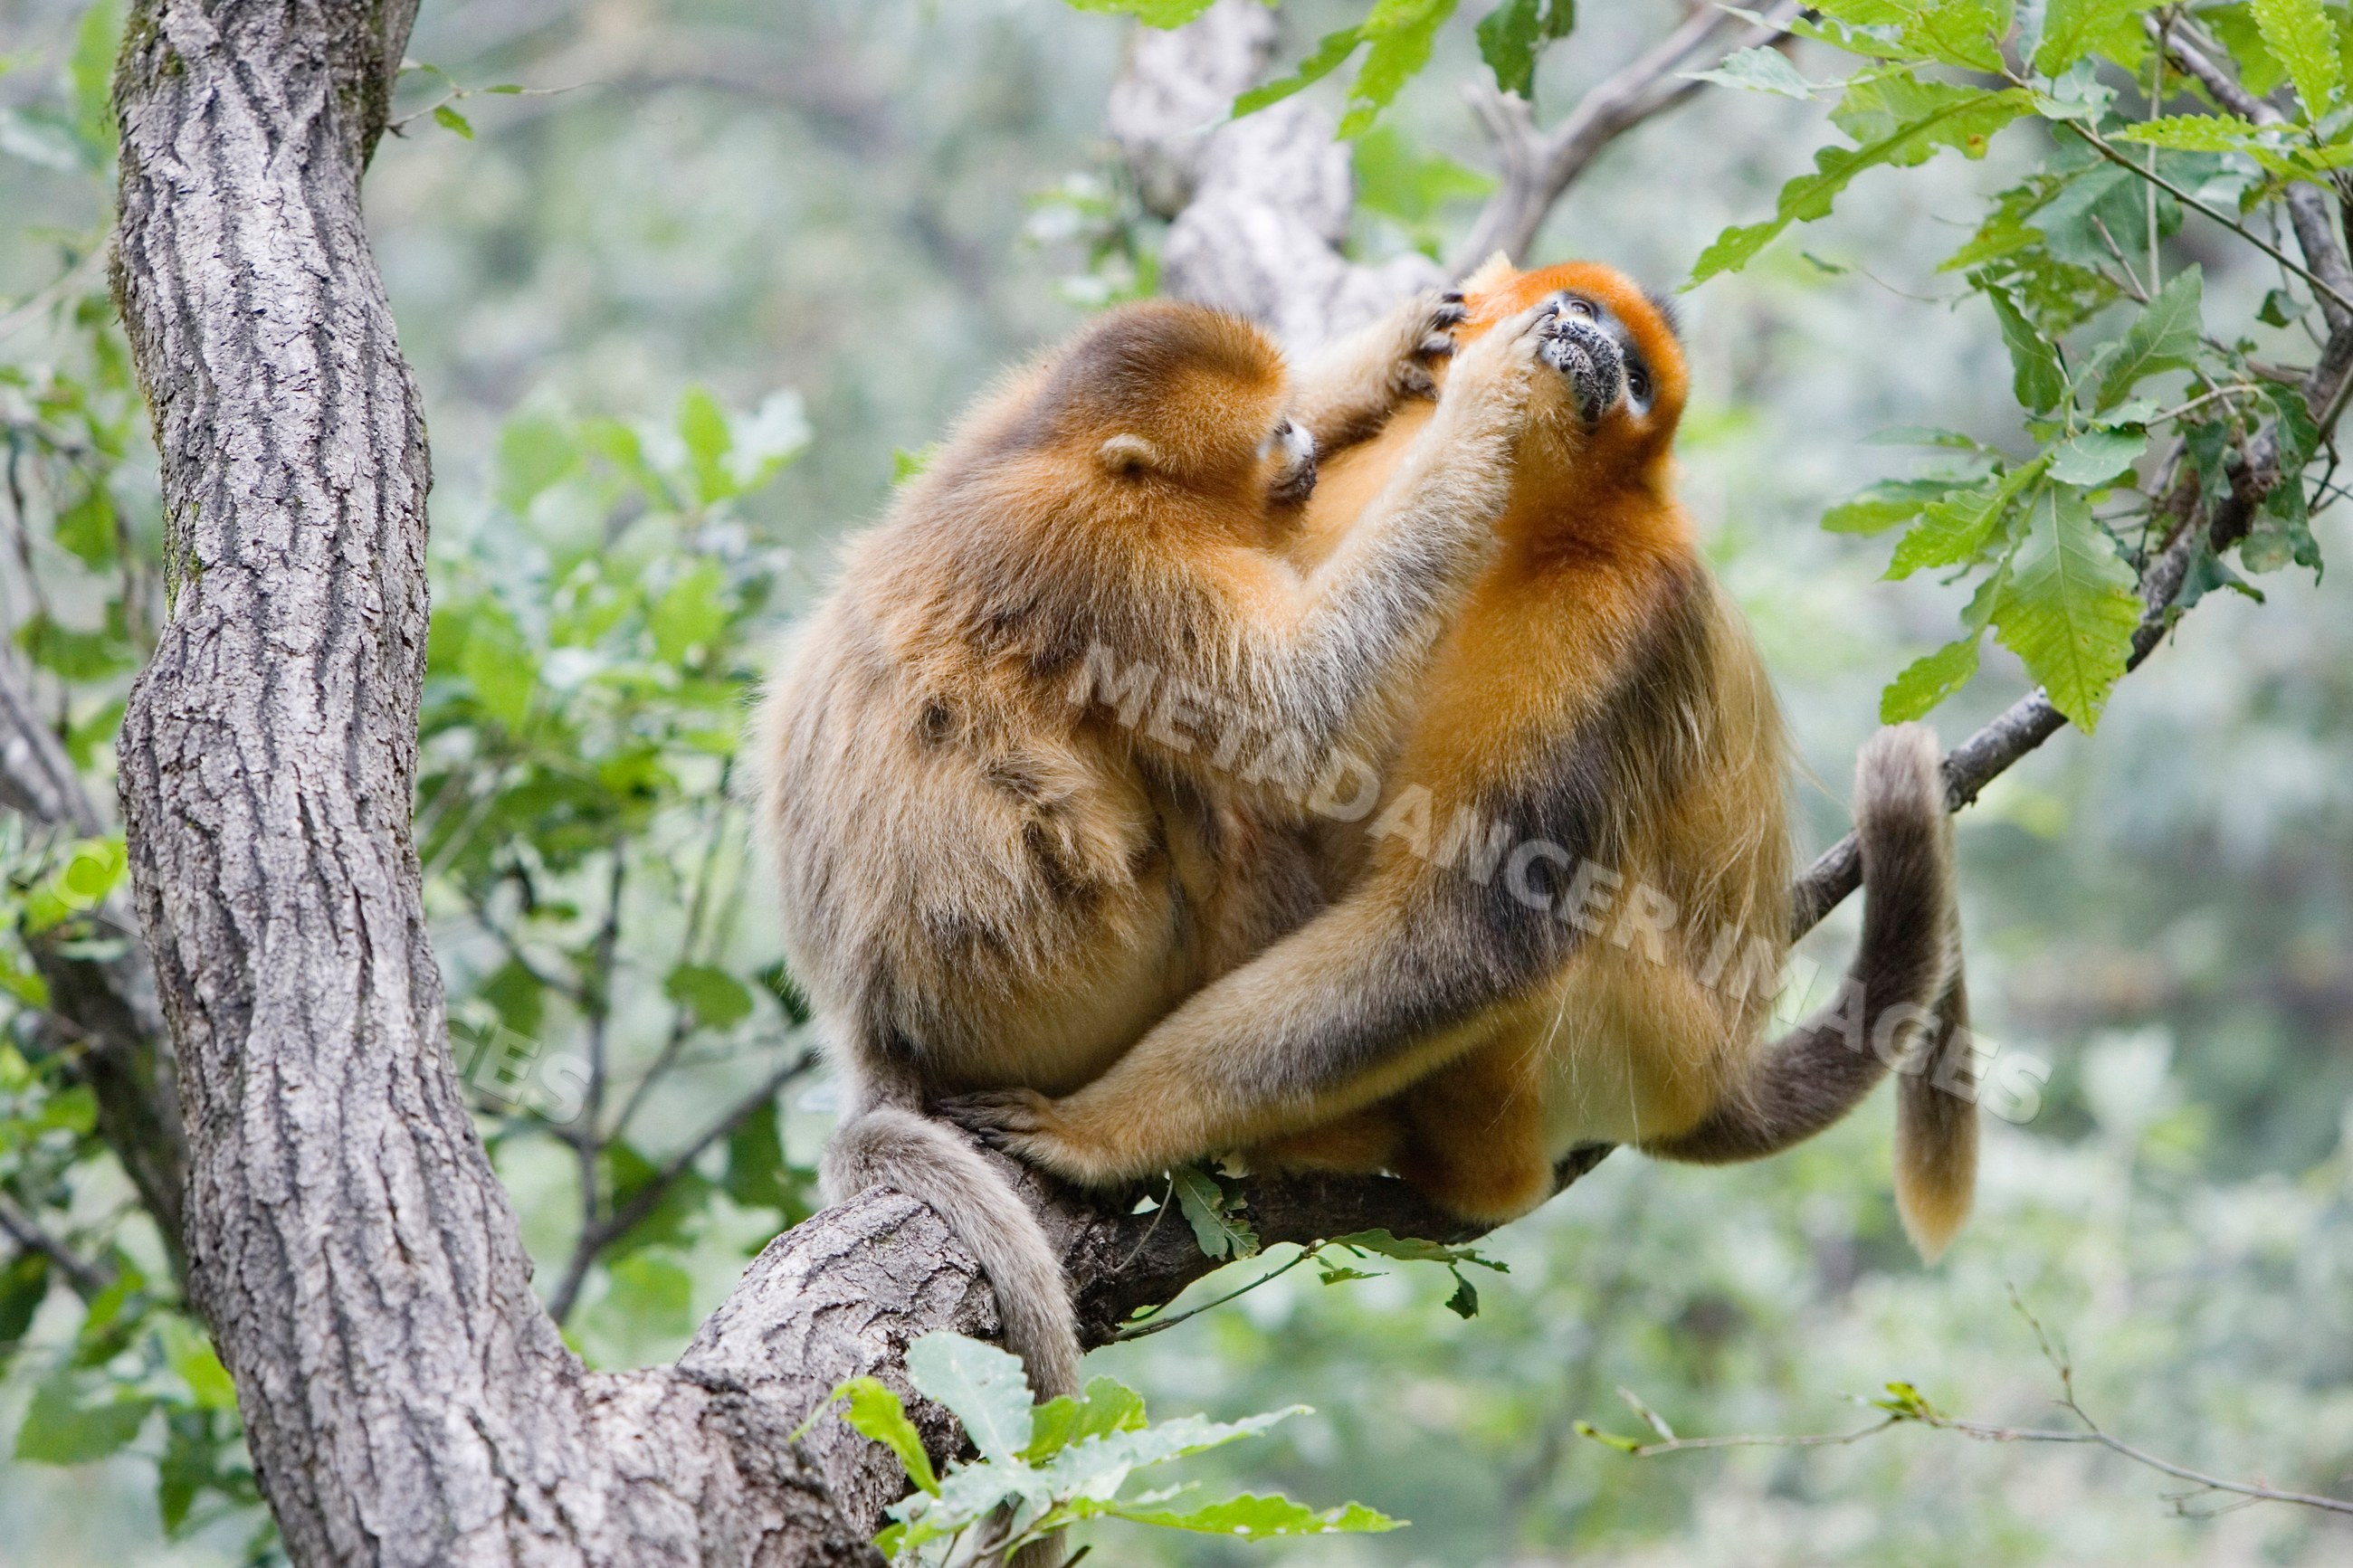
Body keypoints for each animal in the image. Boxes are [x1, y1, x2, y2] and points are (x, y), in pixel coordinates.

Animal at [749, 288, 1567, 1437]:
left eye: (1285, 414)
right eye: (1268, 437)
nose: (1301, 442)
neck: (1077, 464)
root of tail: (877, 1023)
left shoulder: (997, 430)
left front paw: (1383, 356)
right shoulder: (1115, 560)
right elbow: (1300, 721)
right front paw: (1488, 402)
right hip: (1070, 989)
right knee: (1212, 801)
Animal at [942, 259, 1979, 1261]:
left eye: (1637, 378)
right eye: (1578, 308)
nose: (1595, 343)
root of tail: (1716, 1069)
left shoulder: (1616, 602)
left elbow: (1480, 919)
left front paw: (1096, 1130)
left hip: (1649, 1038)